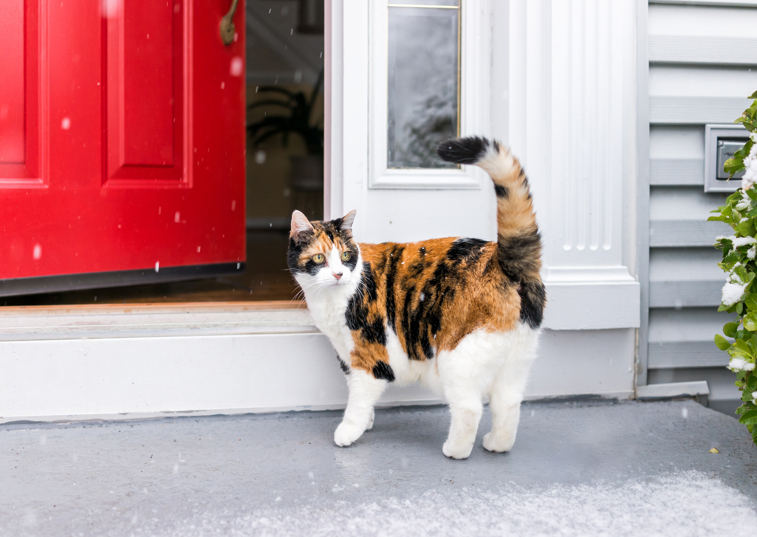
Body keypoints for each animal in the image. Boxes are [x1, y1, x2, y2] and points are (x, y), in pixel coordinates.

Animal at [284, 136, 544, 458]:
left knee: (470, 407)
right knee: (507, 403)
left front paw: (349, 430)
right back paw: (497, 445)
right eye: (320, 257)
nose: (338, 274)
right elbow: (359, 393)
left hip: (457, 356)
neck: (331, 299)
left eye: (345, 255)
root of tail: (501, 259)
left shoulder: (370, 353)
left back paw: (455, 450)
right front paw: (368, 422)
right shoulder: (346, 353)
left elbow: (358, 398)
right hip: (517, 356)